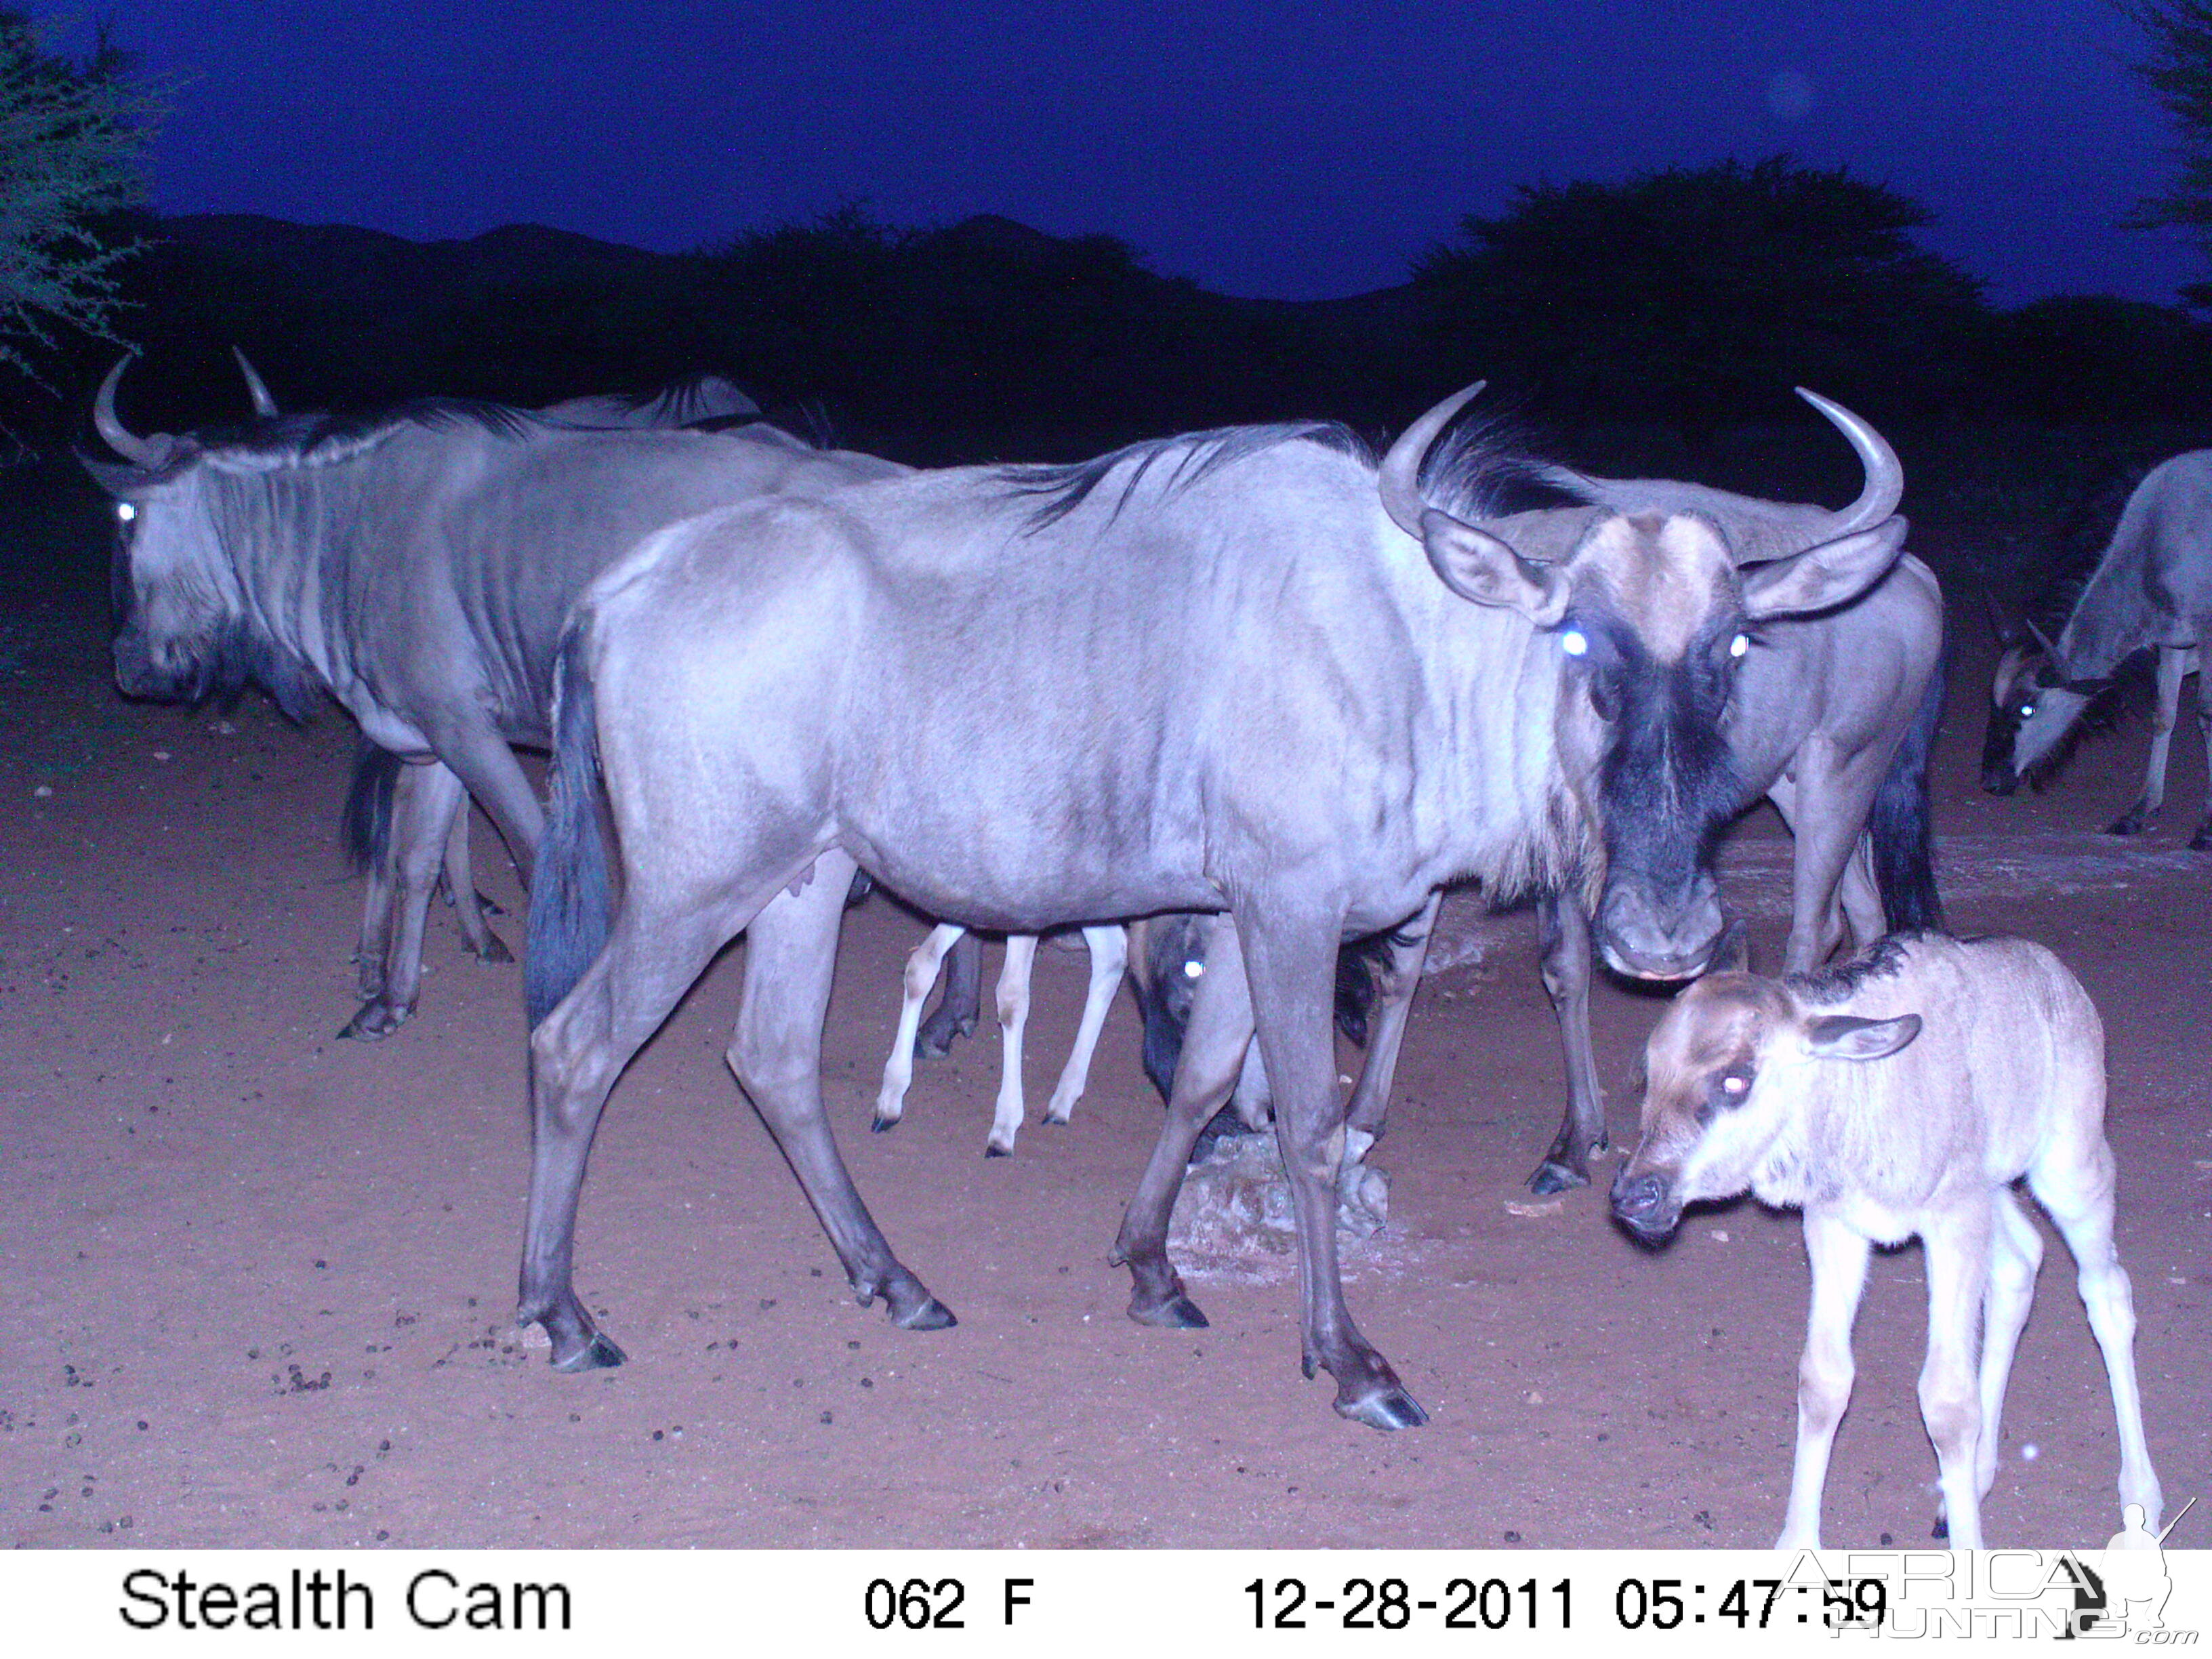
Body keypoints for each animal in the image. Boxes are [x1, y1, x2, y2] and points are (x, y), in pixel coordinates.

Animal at [1610, 942, 2158, 1557]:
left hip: (2069, 1166)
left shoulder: (1952, 1218)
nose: (1634, 1196)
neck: (1856, 1095)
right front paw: (1797, 1545)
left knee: (2107, 1294)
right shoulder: (1835, 1223)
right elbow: (1823, 1380)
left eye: (1735, 1081)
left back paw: (2140, 1509)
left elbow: (1947, 1403)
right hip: (1991, 1187)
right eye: (1651, 1077)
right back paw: (1976, 1478)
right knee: (2019, 1266)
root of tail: (2057, 976)